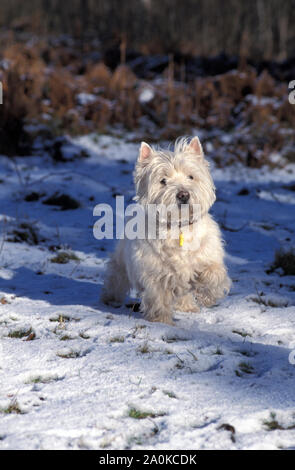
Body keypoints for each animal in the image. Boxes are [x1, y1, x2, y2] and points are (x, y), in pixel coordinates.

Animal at [102, 138, 231, 324]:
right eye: (163, 180)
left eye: (191, 176)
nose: (183, 195)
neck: (179, 227)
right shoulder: (155, 273)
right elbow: (158, 297)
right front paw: (161, 320)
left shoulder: (209, 256)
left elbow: (213, 274)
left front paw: (207, 296)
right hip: (121, 262)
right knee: (116, 277)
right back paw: (109, 298)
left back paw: (188, 307)